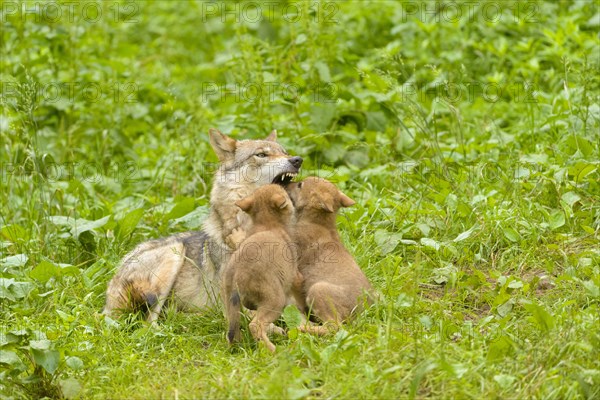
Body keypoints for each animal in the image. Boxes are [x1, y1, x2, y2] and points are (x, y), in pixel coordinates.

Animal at [220, 184, 302, 354]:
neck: (267, 224)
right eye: (286, 195)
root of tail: (237, 274)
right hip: (276, 301)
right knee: (255, 325)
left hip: (230, 304)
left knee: (232, 333)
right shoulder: (296, 275)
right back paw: (273, 350)